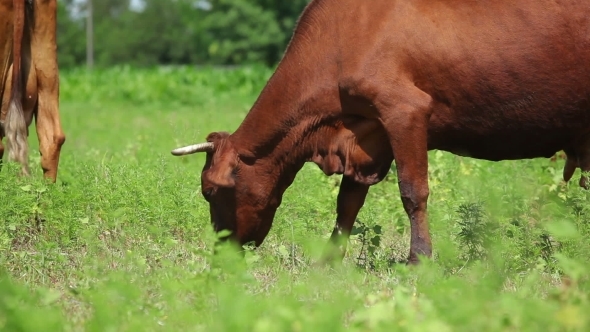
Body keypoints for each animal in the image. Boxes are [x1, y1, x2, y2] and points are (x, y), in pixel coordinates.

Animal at [173, 0, 590, 264]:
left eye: (210, 191)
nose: (220, 253)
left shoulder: (404, 111)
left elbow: (413, 191)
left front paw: (419, 259)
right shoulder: (369, 136)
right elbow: (348, 202)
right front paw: (329, 259)